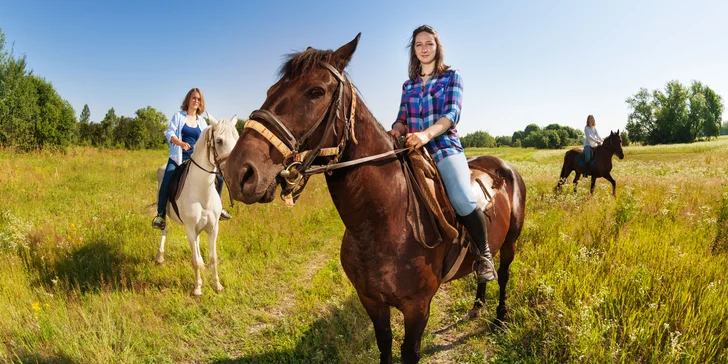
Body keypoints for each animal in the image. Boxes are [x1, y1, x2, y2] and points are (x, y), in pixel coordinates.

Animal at [155, 113, 240, 296]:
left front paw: (217, 285)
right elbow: (193, 260)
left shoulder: (213, 228)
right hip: (166, 215)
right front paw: (197, 288)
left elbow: (213, 258)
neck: (202, 193)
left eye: (237, 140)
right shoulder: (189, 228)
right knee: (164, 230)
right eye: (219, 141)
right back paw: (160, 257)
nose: (234, 169)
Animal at [225, 33, 528, 362]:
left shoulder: (417, 307)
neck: (382, 223)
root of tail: (503, 166)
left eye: (315, 91)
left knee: (503, 274)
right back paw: (476, 307)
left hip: (510, 244)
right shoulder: (371, 301)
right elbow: (384, 345)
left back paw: (499, 318)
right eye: (271, 90)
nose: (238, 171)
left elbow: (409, 352)